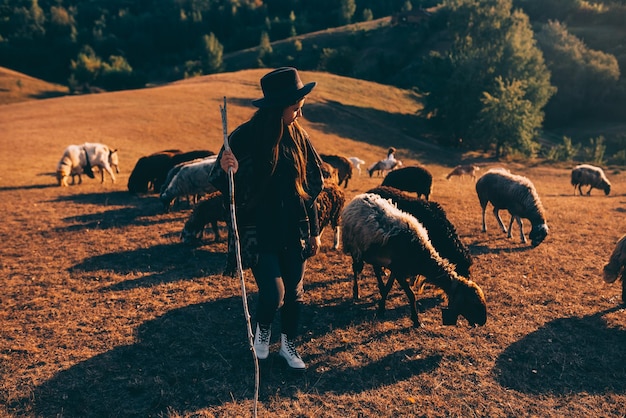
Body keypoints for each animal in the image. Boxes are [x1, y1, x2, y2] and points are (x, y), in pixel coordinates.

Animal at [338, 192, 486, 326]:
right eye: (472, 302)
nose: (483, 321)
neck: (421, 255)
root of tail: (359, 197)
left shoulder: (396, 268)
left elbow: (388, 287)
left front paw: (381, 309)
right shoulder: (398, 270)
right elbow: (411, 295)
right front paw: (416, 320)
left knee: (375, 268)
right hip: (354, 247)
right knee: (355, 269)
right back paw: (356, 292)